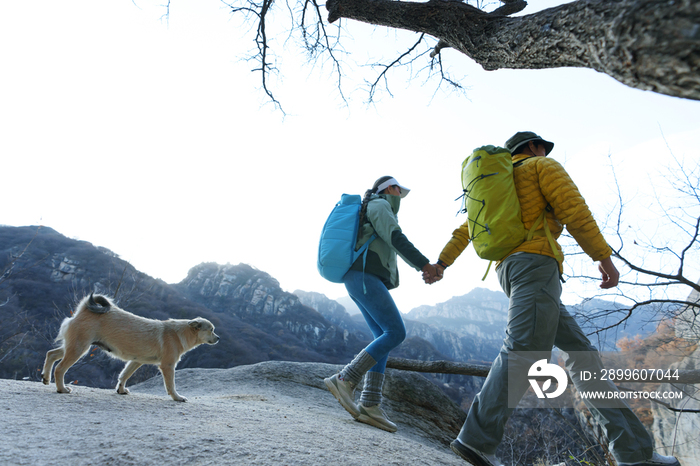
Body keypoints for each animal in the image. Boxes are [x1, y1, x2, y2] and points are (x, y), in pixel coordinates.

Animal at [41, 294, 219, 400]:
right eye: (211, 330)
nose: (218, 338)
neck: (180, 332)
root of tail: (84, 309)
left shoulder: (135, 361)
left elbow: (124, 376)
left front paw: (121, 390)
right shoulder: (168, 366)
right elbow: (171, 385)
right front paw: (177, 397)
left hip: (72, 346)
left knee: (51, 353)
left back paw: (45, 377)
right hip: (78, 348)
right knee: (60, 368)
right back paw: (61, 388)